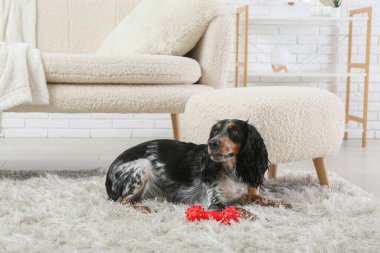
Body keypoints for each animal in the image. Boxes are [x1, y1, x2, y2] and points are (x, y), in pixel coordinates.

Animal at [105, 119, 290, 219]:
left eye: (234, 131)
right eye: (215, 131)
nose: (212, 143)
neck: (230, 170)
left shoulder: (238, 196)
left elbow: (257, 198)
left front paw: (282, 203)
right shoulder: (214, 203)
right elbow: (240, 210)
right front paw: (259, 217)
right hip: (143, 165)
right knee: (120, 201)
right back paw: (144, 208)